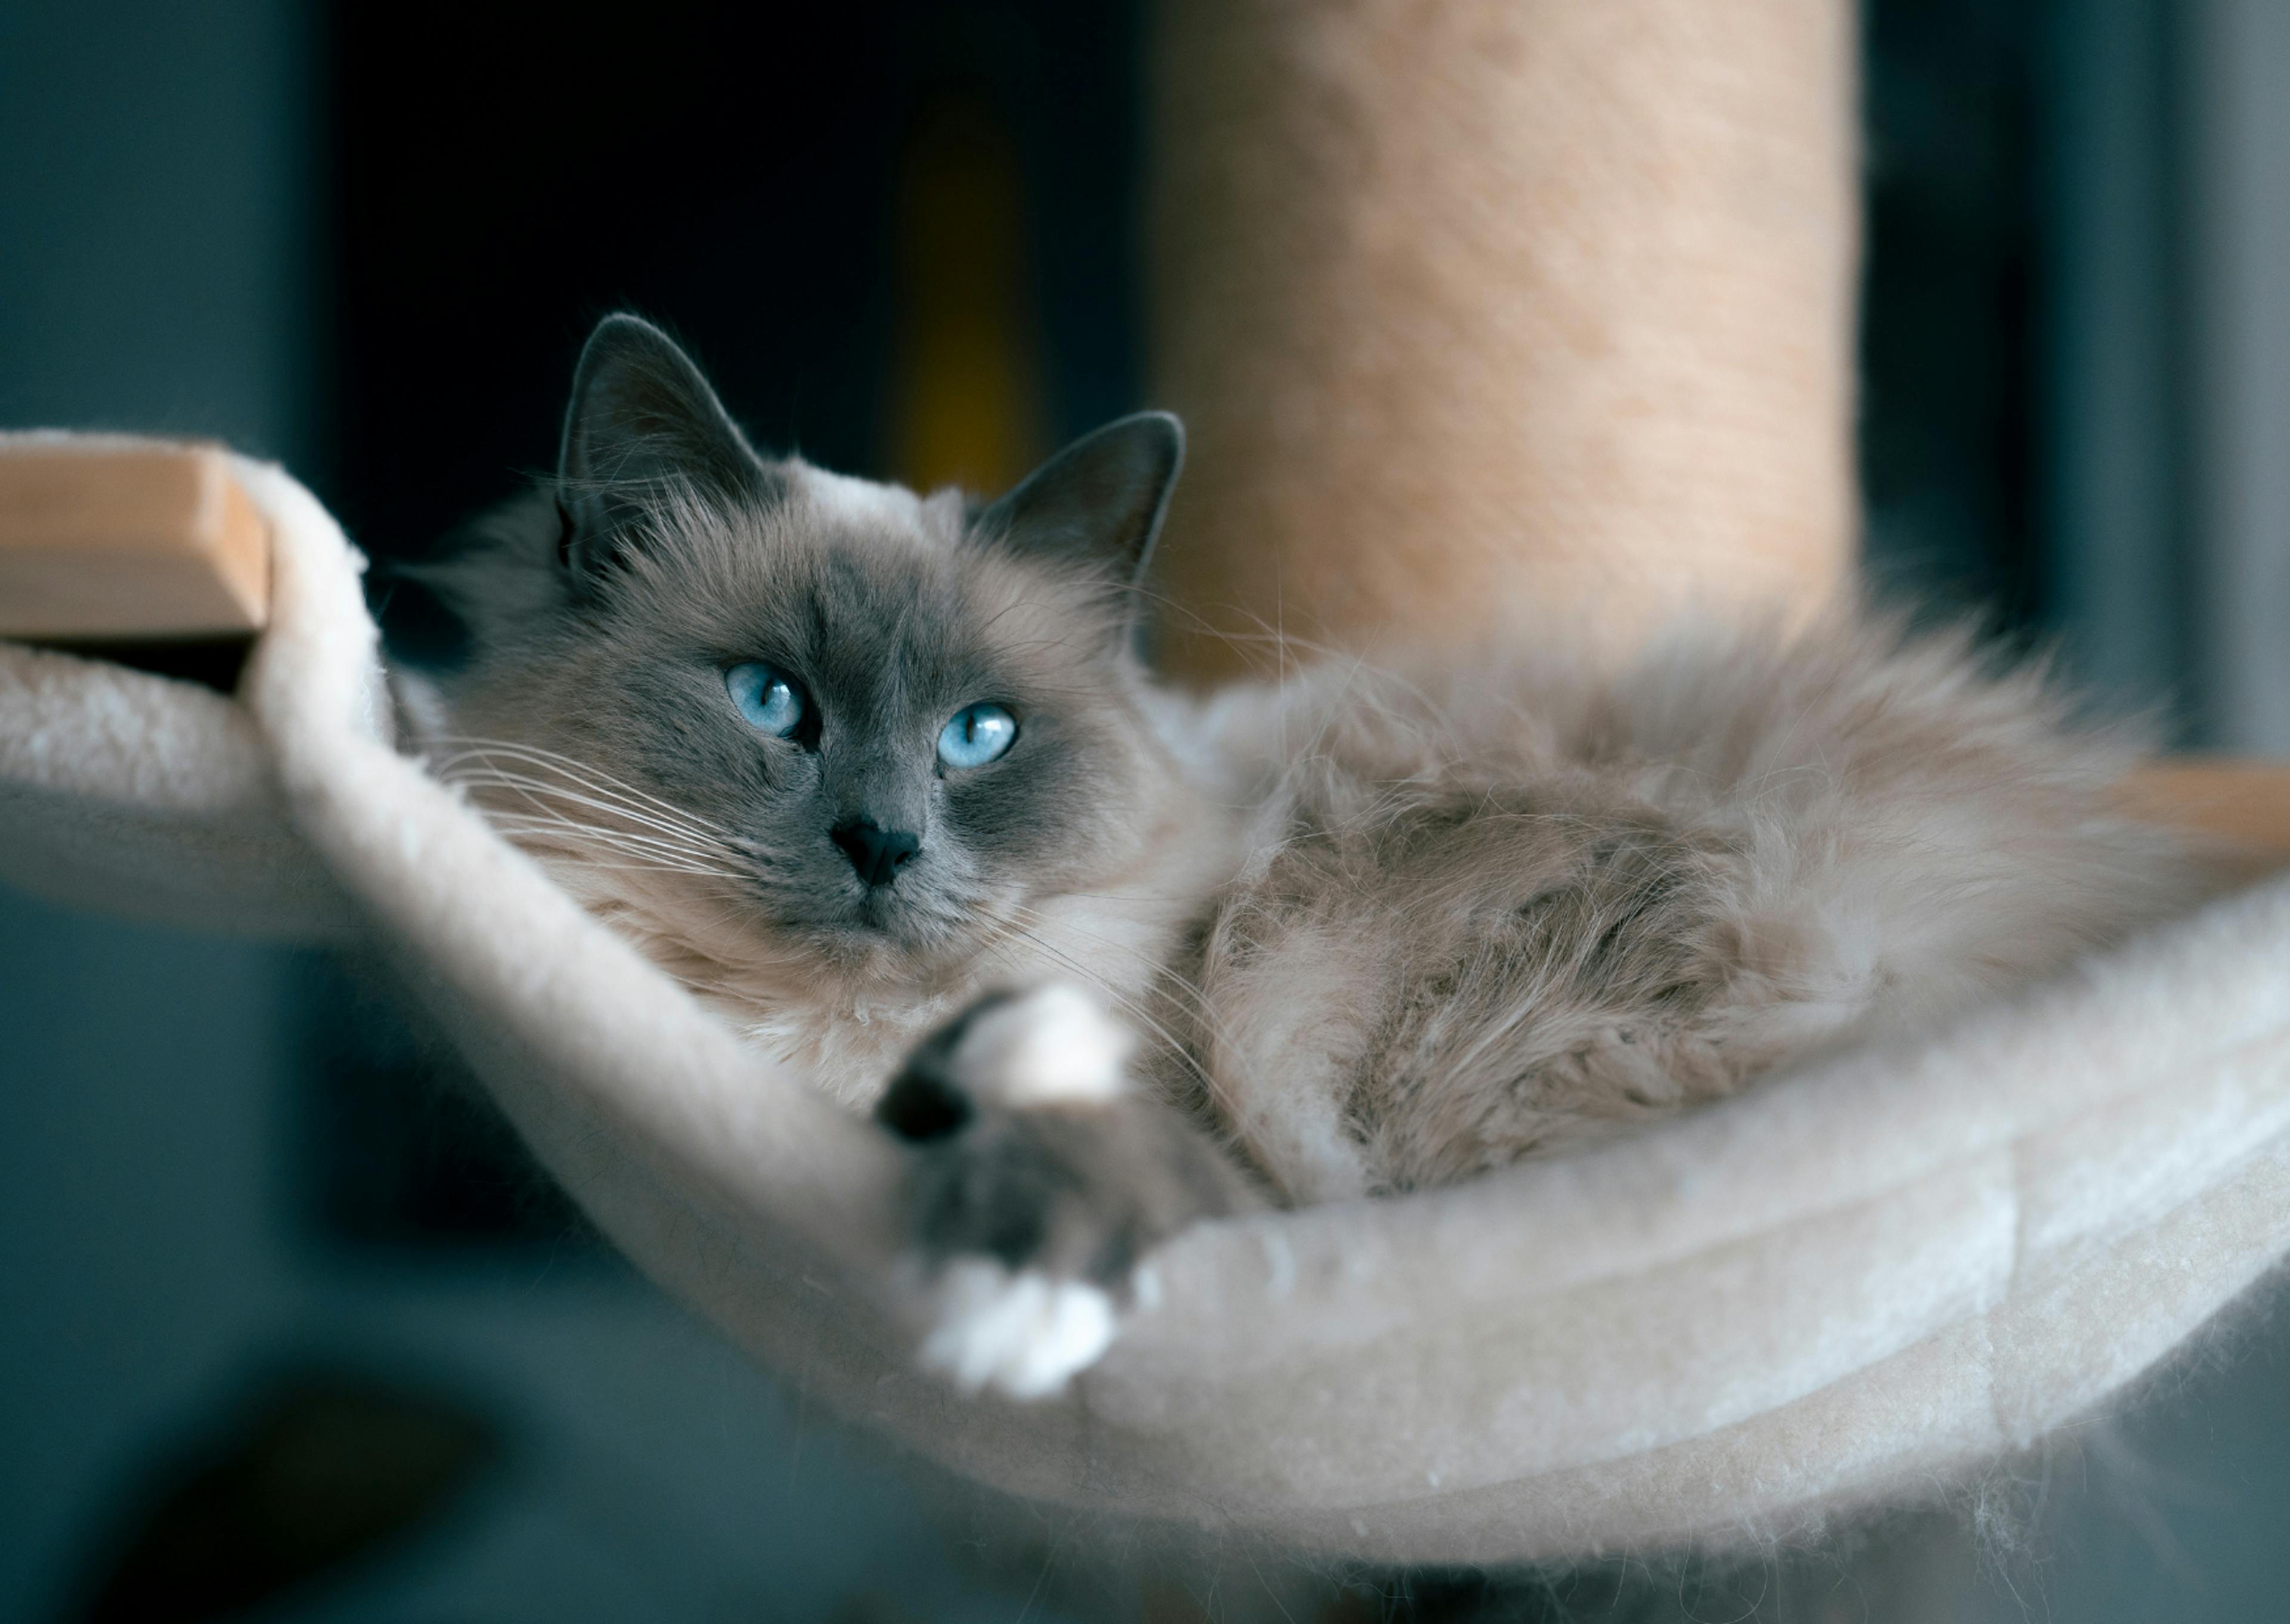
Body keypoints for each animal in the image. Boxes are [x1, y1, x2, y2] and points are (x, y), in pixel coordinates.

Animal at [398, 314, 2217, 1392]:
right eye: (773, 702)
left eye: (980, 735)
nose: (883, 841)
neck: (815, 1055)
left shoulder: (1204, 1141)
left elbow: (1047, 1118)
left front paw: (1005, 1306)